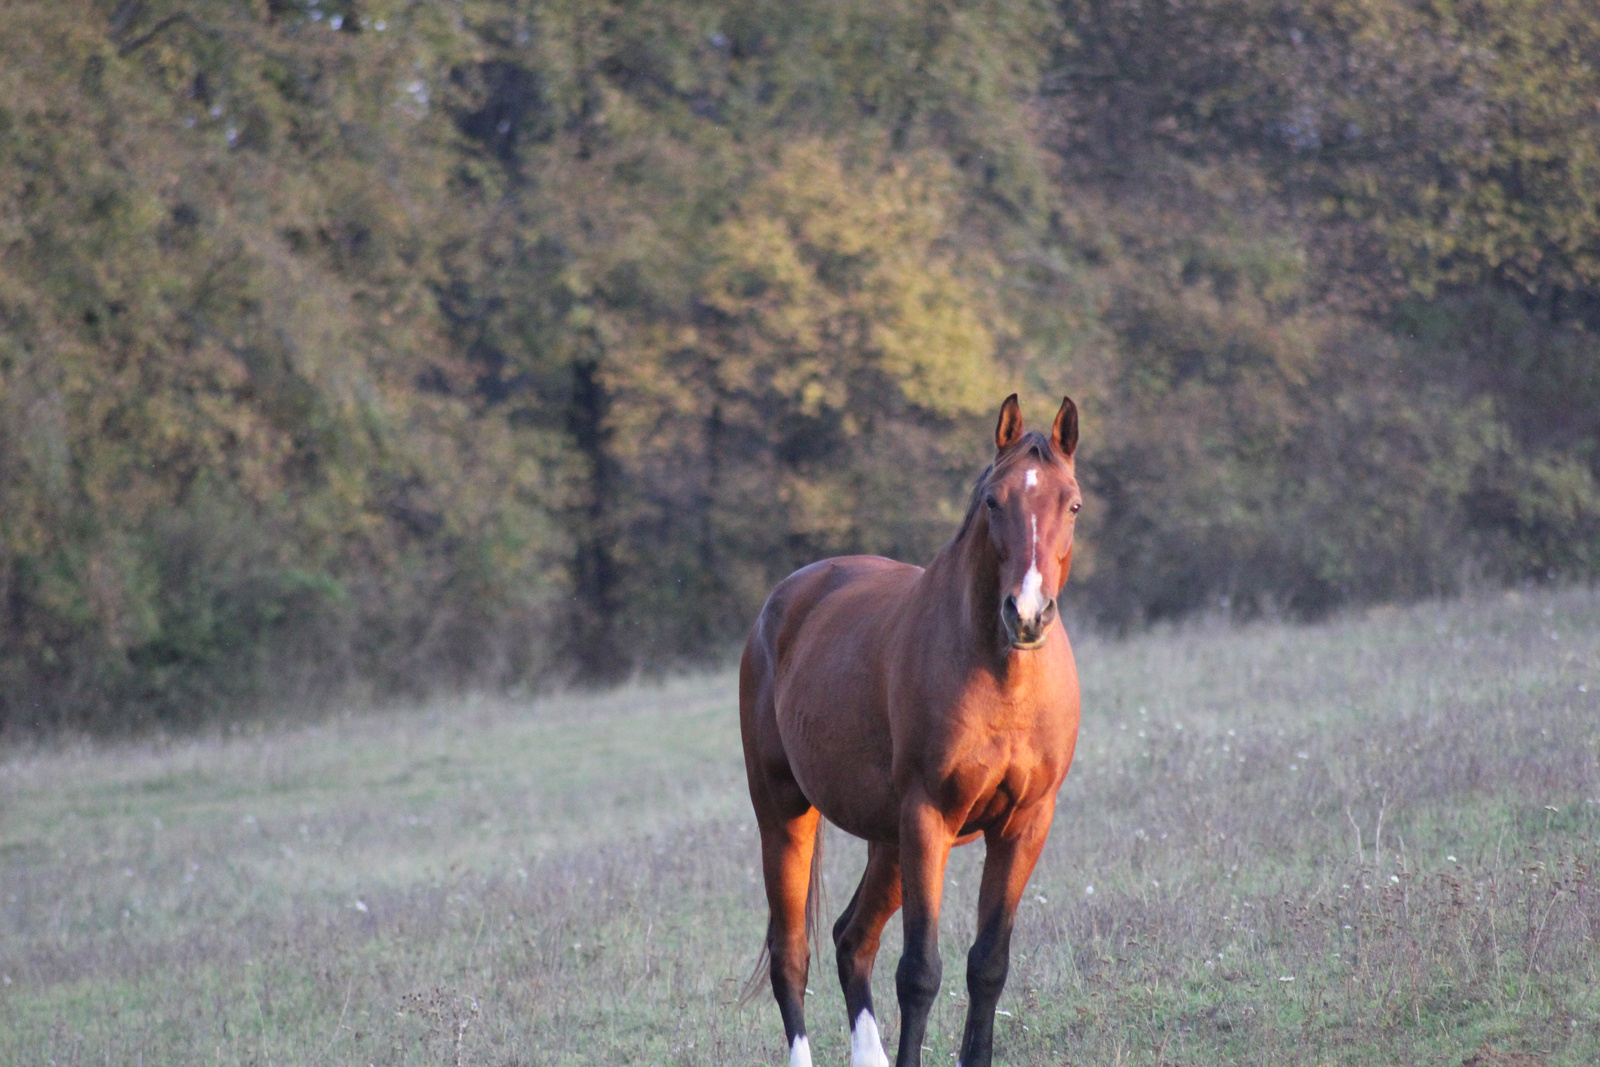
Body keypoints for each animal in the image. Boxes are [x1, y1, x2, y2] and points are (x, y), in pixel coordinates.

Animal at [736, 395, 1088, 1067]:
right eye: (993, 501)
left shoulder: (1025, 826)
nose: (1027, 614)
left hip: (889, 843)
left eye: (1073, 504)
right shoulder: (928, 818)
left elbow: (988, 965)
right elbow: (920, 971)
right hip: (786, 816)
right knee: (792, 955)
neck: (1001, 678)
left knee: (852, 939)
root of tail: (783, 600)